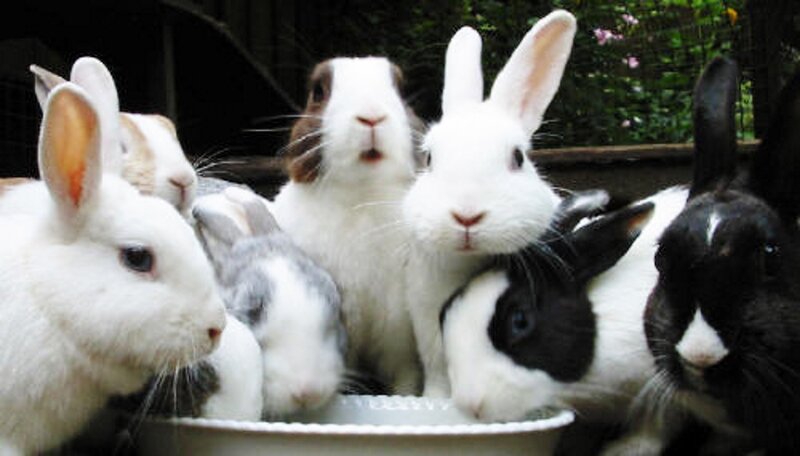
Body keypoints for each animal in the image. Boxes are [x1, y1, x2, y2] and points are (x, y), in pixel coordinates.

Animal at [269, 56, 424, 395]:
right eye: (318, 91)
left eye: (400, 88)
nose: (371, 116)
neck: (361, 196)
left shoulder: (401, 344)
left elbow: (405, 381)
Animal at [441, 187, 689, 455]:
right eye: (446, 309)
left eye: (520, 321)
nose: (470, 406)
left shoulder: (664, 387)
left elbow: (657, 423)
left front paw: (625, 449)